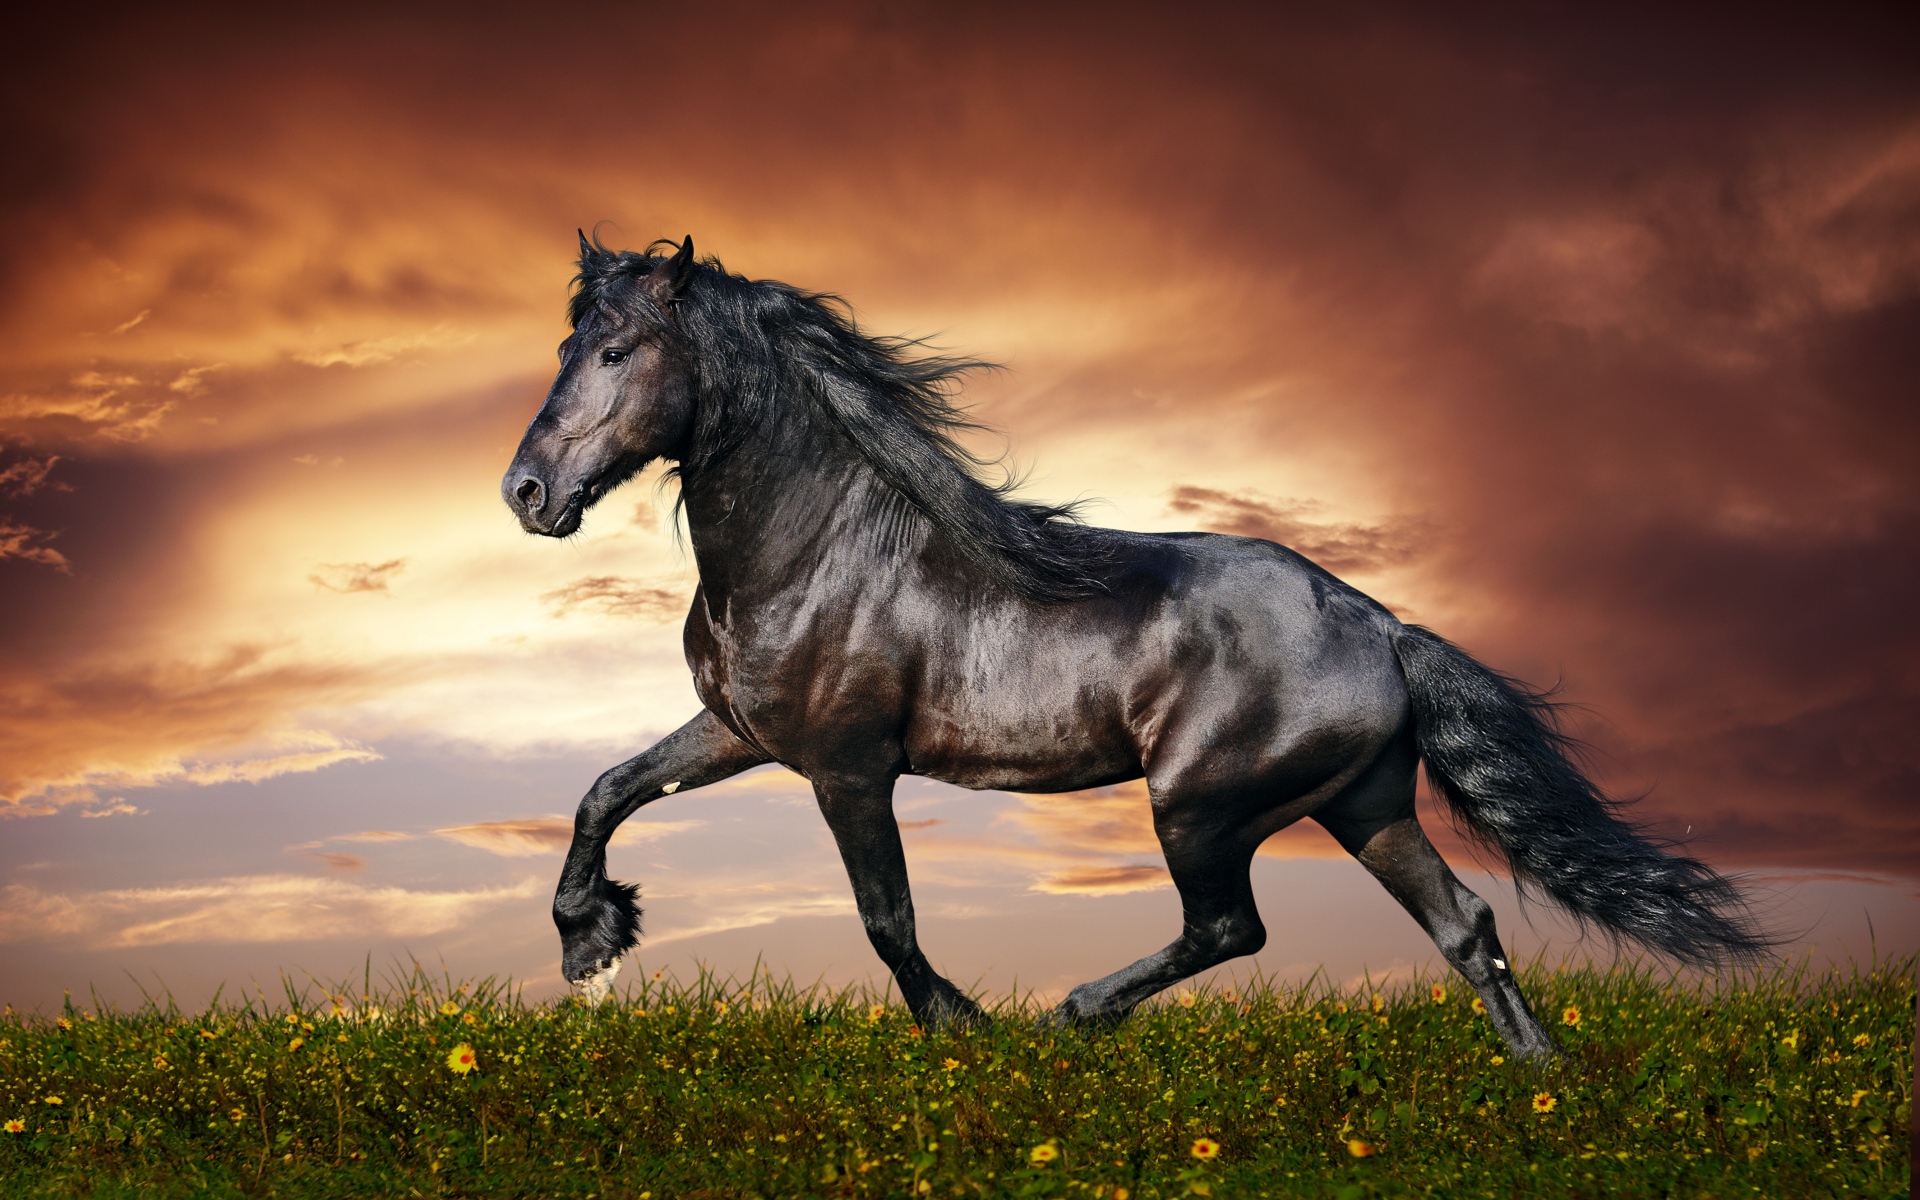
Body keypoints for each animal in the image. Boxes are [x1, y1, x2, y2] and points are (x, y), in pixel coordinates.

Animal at [502, 234, 1769, 1058]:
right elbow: (606, 789)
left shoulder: (847, 766)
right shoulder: (742, 731)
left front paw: (964, 1029)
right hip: (1363, 803)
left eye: (617, 352)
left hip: (1200, 803)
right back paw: (1541, 1086)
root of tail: (1382, 626)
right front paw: (590, 943)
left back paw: (1074, 1013)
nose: (527, 493)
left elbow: (886, 917)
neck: (817, 548)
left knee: (1231, 926)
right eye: (568, 346)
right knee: (1464, 927)